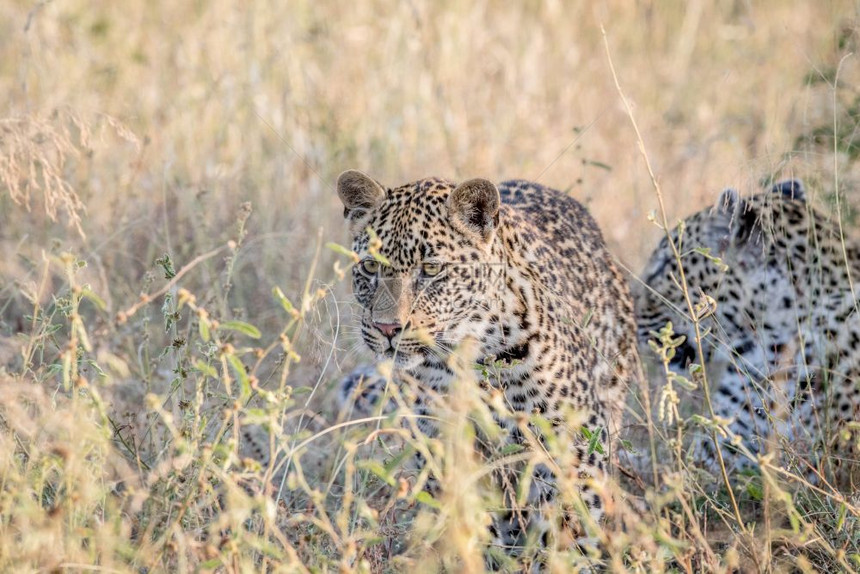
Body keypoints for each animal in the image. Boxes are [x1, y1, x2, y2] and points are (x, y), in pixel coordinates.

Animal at [332, 170, 640, 564]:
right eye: (370, 266)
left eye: (431, 269)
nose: (387, 329)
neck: (465, 353)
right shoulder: (443, 446)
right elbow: (475, 521)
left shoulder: (572, 444)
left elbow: (571, 522)